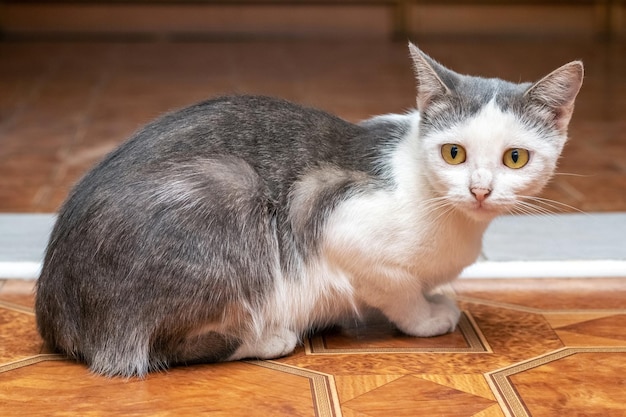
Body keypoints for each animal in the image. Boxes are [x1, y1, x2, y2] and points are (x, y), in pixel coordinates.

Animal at [33, 43, 580, 376]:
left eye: (514, 158)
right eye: (454, 153)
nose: (480, 190)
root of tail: (58, 316)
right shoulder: (335, 217)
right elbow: (398, 289)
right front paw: (428, 316)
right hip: (227, 192)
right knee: (159, 348)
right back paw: (270, 336)